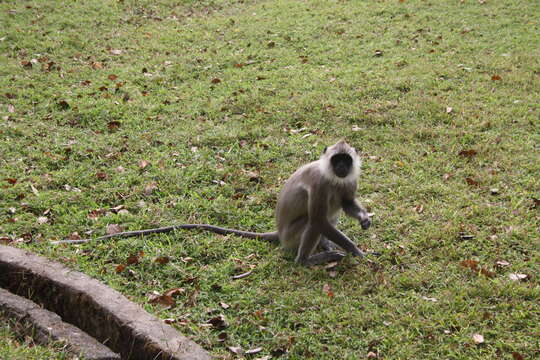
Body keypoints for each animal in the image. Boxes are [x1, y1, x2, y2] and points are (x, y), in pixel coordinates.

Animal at [53, 141, 376, 268]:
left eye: (346, 161)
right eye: (337, 160)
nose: (342, 167)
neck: (334, 177)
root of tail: (279, 232)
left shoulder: (347, 183)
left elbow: (347, 202)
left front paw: (364, 220)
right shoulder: (321, 182)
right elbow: (319, 219)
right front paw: (357, 251)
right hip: (293, 234)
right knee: (313, 220)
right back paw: (307, 259)